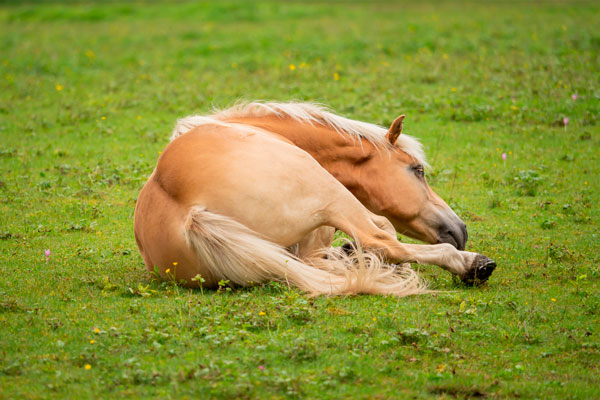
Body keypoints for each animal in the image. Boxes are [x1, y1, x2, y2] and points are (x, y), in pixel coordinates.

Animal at [136, 101, 496, 296]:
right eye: (417, 169)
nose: (460, 230)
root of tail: (191, 215)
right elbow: (382, 234)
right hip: (331, 195)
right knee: (380, 238)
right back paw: (471, 264)